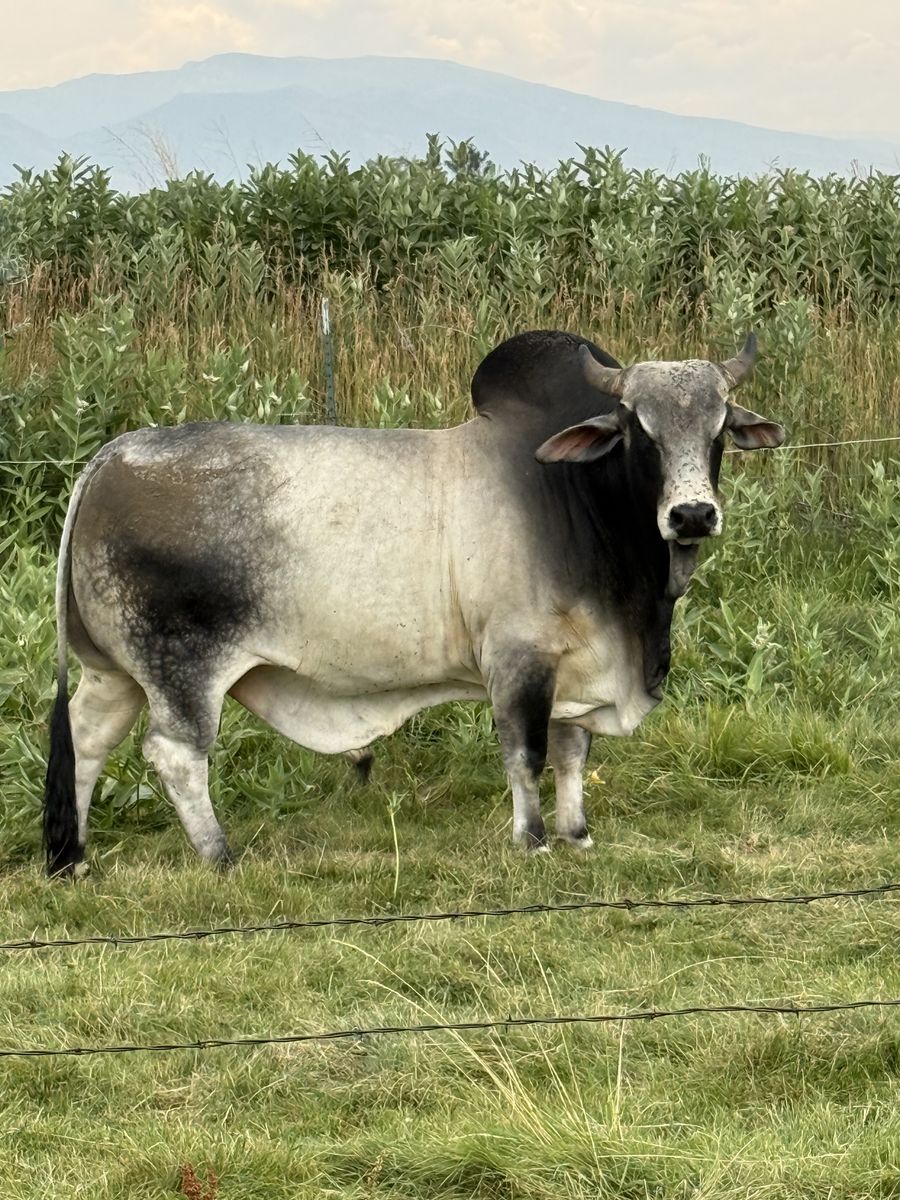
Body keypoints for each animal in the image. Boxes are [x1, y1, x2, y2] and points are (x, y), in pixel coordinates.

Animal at [42, 330, 785, 876]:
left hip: (114, 671)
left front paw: (577, 834)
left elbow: (572, 753)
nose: (692, 515)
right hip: (180, 668)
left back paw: (74, 858)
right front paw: (532, 840)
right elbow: (526, 753)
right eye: (639, 428)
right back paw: (220, 856)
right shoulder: (517, 659)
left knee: (85, 736)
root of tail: (106, 459)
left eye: (720, 427)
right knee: (175, 754)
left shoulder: (573, 664)